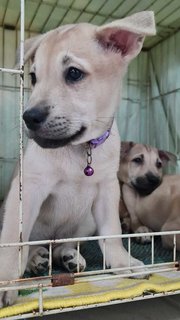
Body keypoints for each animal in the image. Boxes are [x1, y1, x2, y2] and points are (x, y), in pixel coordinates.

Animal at [0, 13, 155, 308]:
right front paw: (5, 281)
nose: (29, 117)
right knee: (32, 245)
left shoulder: (107, 190)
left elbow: (112, 233)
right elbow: (14, 241)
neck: (79, 150)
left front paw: (122, 262)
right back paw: (37, 260)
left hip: (86, 221)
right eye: (33, 77)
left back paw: (68, 257)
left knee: (62, 244)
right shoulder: (28, 189)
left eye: (74, 73)